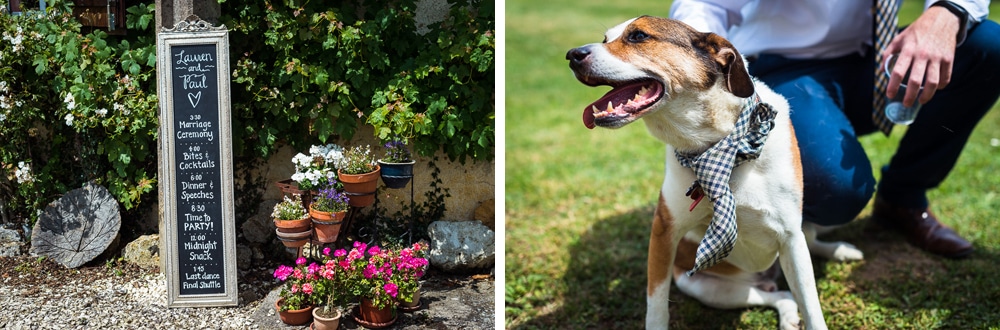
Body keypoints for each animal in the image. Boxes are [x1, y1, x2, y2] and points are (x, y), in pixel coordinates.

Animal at [568, 16, 864, 330]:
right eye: (605, 39)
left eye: (638, 36)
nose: (572, 55)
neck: (719, 147)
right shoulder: (664, 232)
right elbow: (656, 306)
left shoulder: (791, 237)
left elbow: (812, 307)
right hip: (708, 287)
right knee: (782, 296)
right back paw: (787, 313)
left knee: (807, 251)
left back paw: (841, 251)